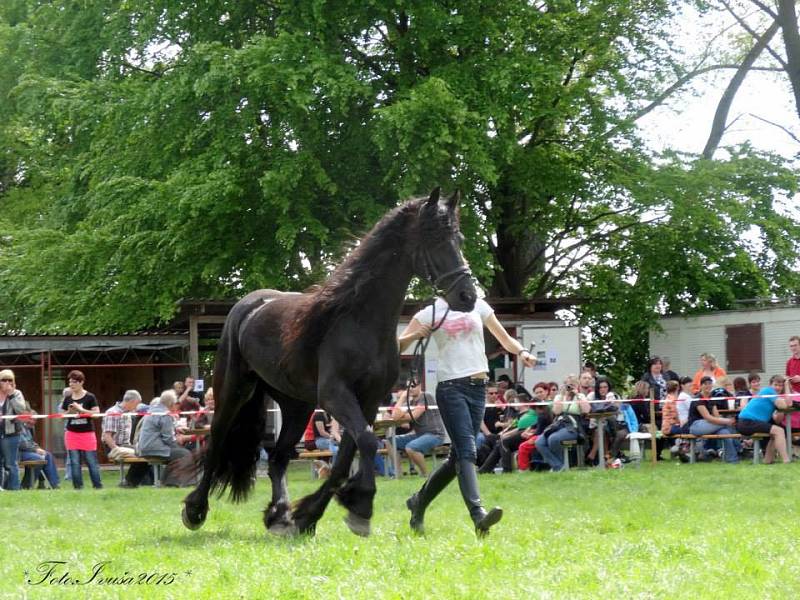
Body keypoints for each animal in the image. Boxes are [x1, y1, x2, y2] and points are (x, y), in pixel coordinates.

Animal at [181, 188, 476, 536]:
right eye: (433, 238)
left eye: (458, 239)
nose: (468, 296)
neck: (360, 322)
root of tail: (249, 305)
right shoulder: (336, 395)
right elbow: (366, 443)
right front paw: (359, 504)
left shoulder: (368, 400)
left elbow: (349, 454)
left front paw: (311, 514)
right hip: (234, 390)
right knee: (217, 440)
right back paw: (196, 509)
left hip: (297, 406)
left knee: (279, 457)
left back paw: (279, 514)